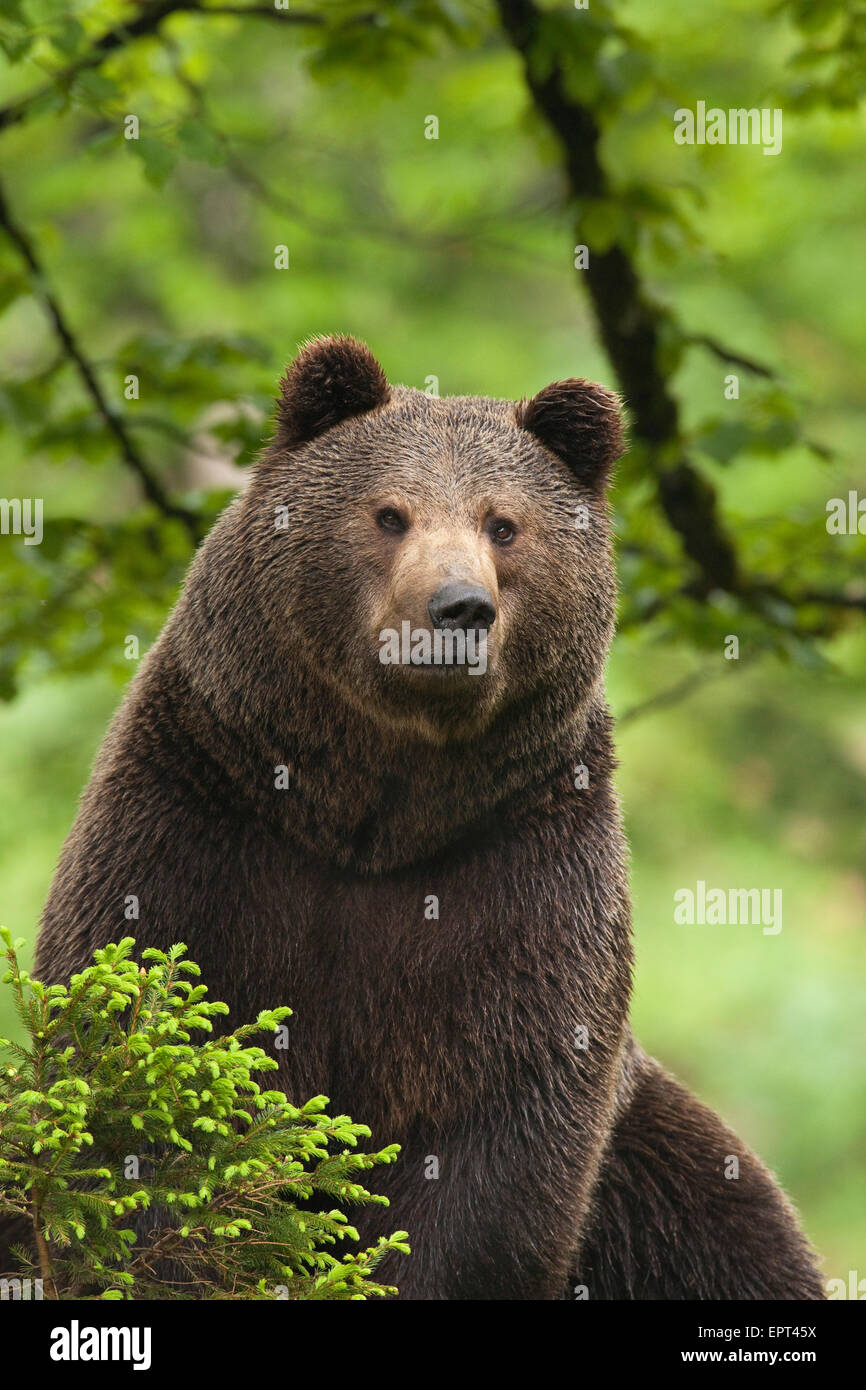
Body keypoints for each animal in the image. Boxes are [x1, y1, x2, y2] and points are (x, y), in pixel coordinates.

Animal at [27, 335, 822, 1300]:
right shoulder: (198, 821)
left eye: (504, 524)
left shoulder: (518, 868)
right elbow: (144, 1062)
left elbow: (503, 1125)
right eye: (390, 514)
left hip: (665, 1186)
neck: (368, 812)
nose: (458, 609)